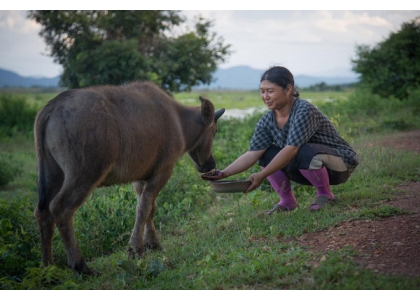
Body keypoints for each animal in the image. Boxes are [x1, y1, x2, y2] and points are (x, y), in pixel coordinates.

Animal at [33, 81, 225, 274]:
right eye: (215, 130)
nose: (210, 164)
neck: (181, 124)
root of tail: (49, 109)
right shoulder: (163, 170)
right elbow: (144, 209)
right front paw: (135, 249)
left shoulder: (141, 177)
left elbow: (150, 209)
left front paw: (151, 243)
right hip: (85, 172)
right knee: (61, 208)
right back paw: (80, 265)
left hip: (53, 173)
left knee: (43, 212)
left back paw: (47, 267)